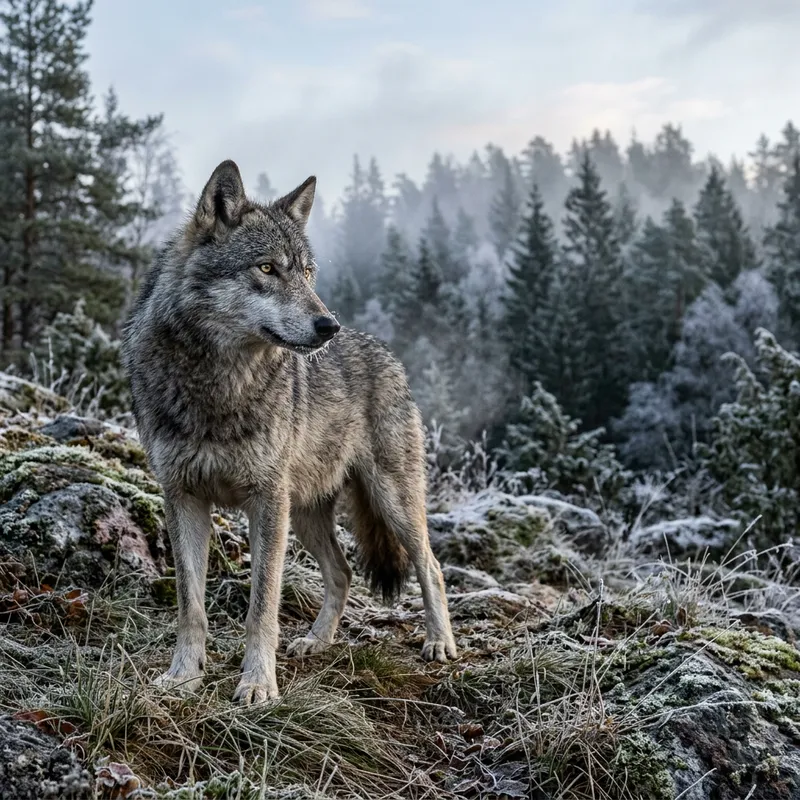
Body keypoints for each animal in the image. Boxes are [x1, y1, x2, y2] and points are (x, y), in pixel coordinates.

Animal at [121, 160, 457, 704]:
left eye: (307, 272)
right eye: (266, 269)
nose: (328, 325)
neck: (219, 384)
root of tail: (389, 355)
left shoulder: (266, 501)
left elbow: (262, 607)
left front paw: (257, 684)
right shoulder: (183, 497)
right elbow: (191, 605)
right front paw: (183, 677)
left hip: (387, 500)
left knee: (430, 566)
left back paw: (439, 642)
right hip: (304, 514)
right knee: (342, 572)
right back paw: (317, 641)